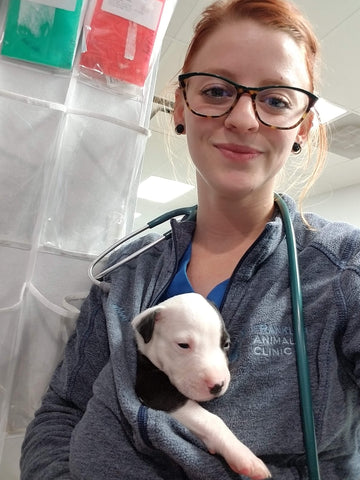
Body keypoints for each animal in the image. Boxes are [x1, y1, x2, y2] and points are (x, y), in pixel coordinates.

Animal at [131, 292, 270, 480]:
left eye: (226, 344)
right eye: (183, 345)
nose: (218, 385)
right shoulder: (156, 391)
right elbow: (211, 420)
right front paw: (243, 455)